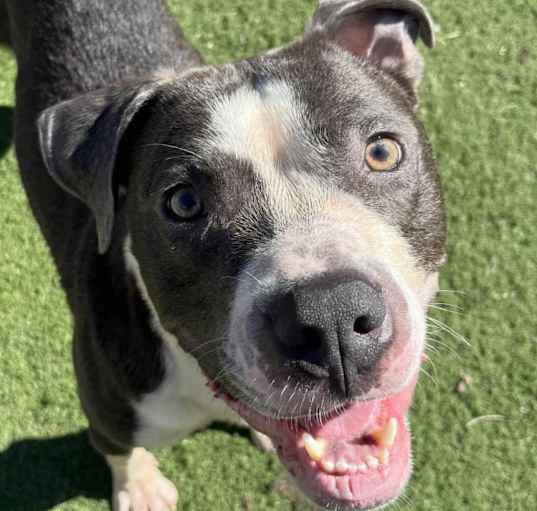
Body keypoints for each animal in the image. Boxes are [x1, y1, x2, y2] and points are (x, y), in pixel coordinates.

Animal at [5, 0, 444, 510]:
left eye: (382, 152)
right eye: (183, 203)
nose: (331, 315)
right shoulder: (107, 413)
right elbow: (120, 451)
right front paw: (140, 488)